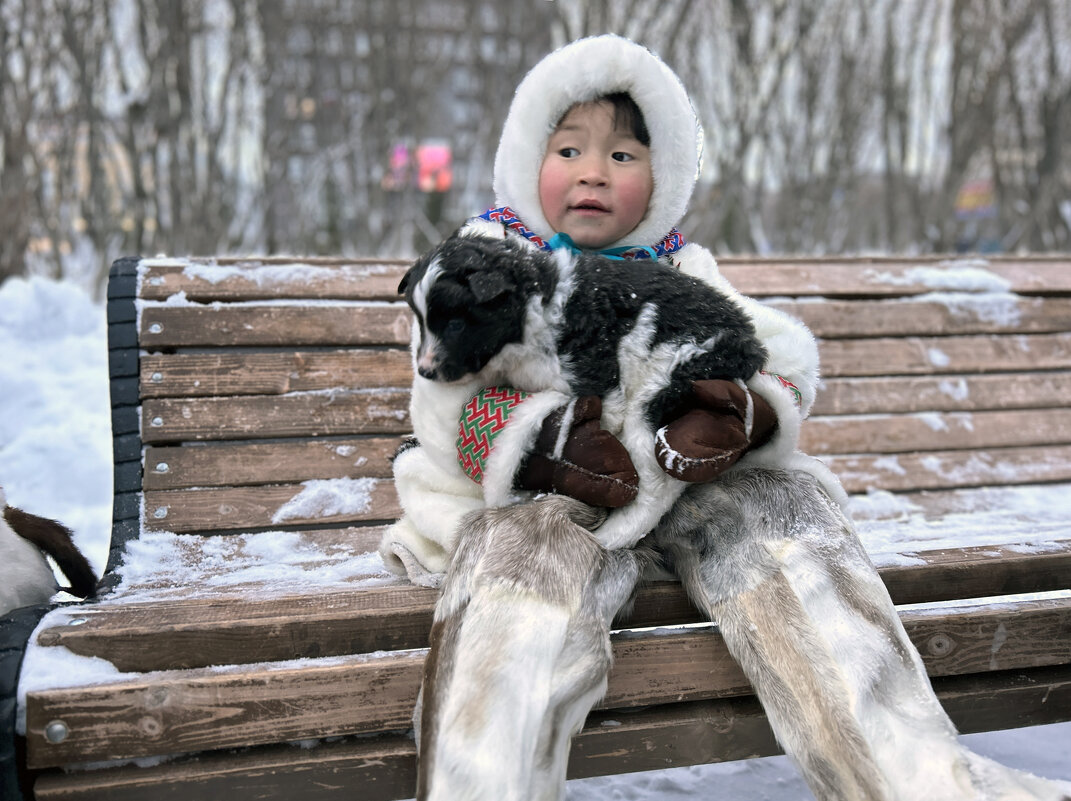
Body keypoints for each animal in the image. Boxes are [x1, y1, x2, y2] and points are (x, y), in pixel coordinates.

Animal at [398, 228, 766, 548]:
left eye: (456, 324)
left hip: (670, 372)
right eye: (420, 321)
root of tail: (749, 341)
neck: (533, 310)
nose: (425, 370)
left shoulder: (595, 373)